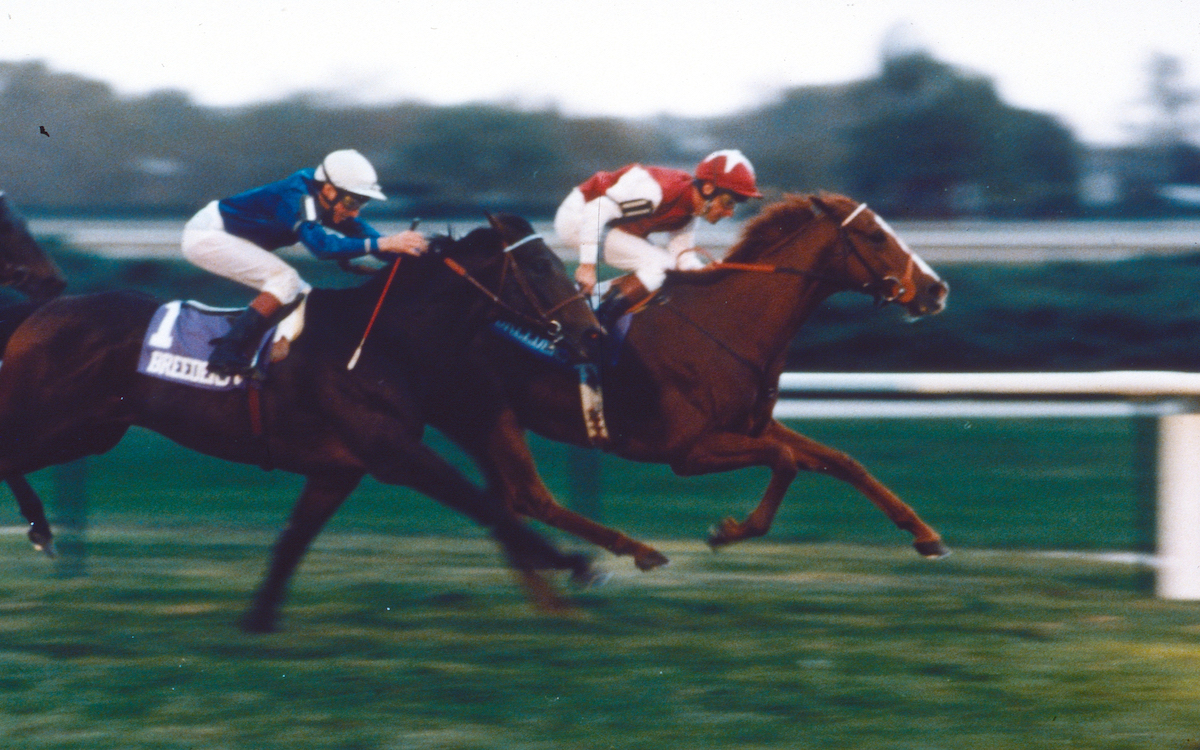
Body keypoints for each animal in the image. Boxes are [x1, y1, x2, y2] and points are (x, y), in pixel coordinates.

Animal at [0, 205, 600, 633]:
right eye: (541, 266)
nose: (591, 333)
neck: (382, 340)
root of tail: (40, 311)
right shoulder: (393, 451)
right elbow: (483, 504)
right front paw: (575, 562)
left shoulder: (339, 468)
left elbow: (292, 540)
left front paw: (257, 622)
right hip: (52, 421)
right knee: (8, 457)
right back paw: (41, 528)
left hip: (91, 433)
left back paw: (42, 529)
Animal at [446, 193, 950, 566]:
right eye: (875, 235)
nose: (936, 289)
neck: (726, 324)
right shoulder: (686, 450)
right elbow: (785, 460)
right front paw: (728, 531)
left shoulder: (752, 425)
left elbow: (843, 461)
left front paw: (926, 535)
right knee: (527, 497)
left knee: (517, 498)